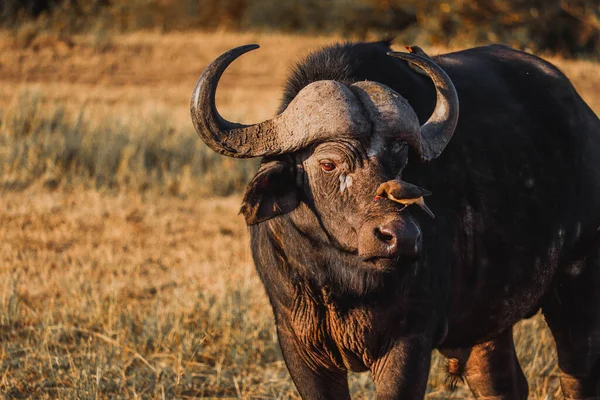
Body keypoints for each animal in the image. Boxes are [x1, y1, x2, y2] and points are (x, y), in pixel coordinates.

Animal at [190, 41, 600, 400]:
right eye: (328, 163)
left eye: (400, 160)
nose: (400, 237)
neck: (339, 283)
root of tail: (585, 121)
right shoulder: (300, 348)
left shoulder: (409, 343)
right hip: (487, 324)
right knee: (501, 384)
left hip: (577, 293)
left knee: (578, 375)